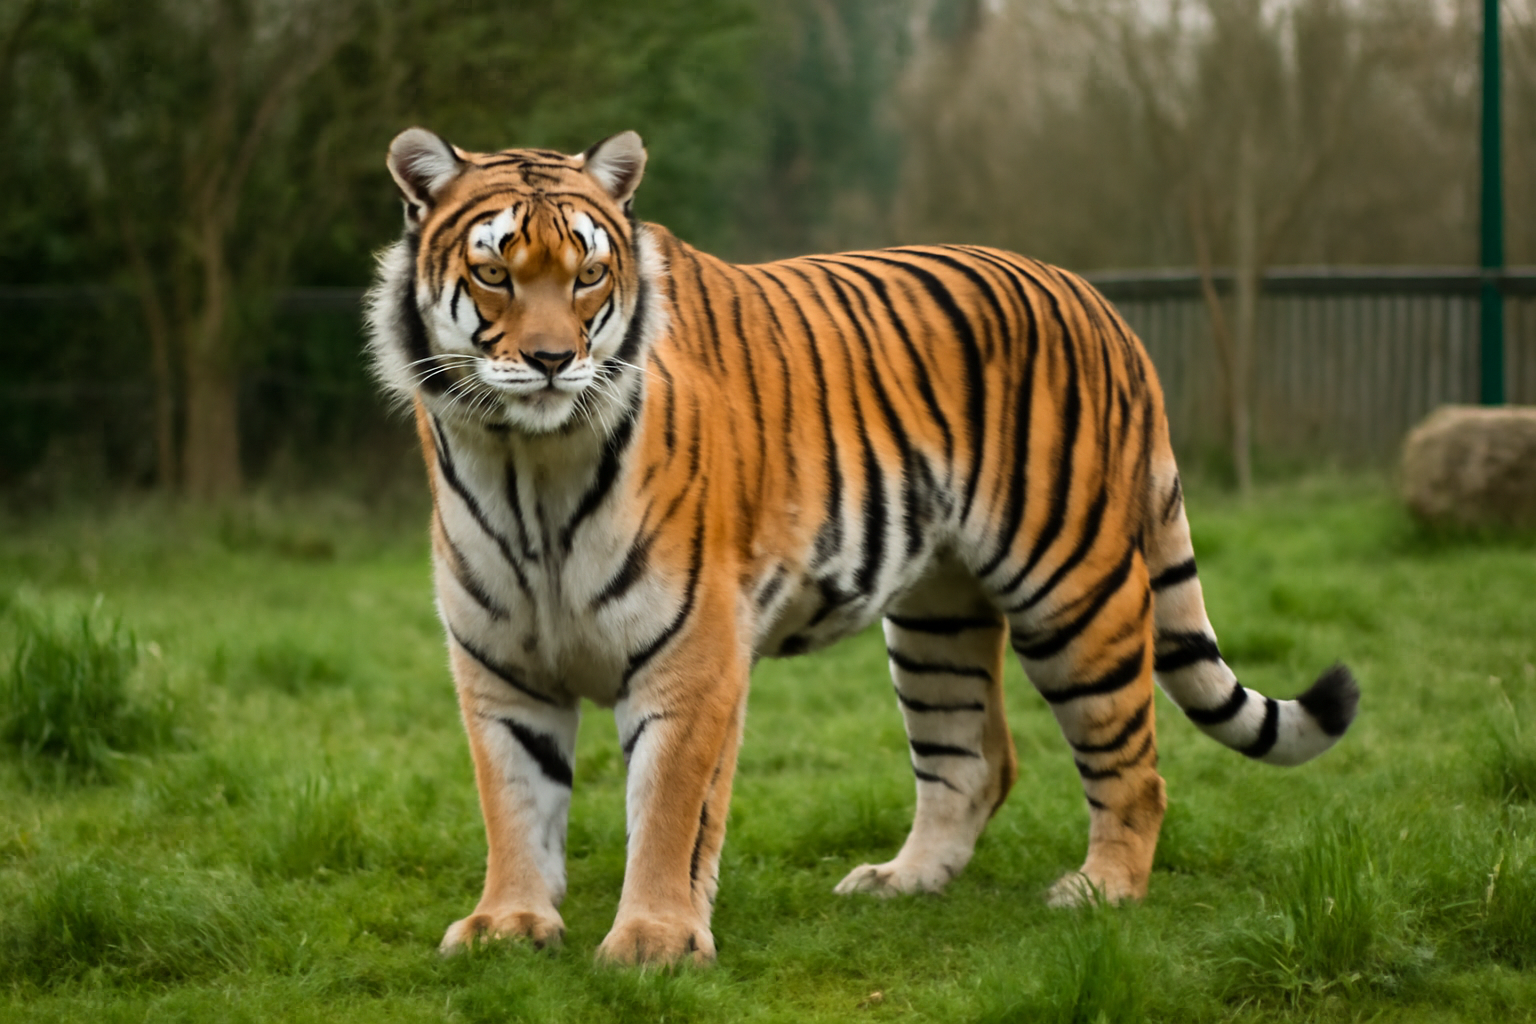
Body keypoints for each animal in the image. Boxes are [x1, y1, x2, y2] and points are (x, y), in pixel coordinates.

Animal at [365, 127, 1360, 966]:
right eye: (497, 275)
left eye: (587, 277)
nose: (551, 361)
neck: (525, 464)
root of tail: (1097, 301)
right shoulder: (500, 660)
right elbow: (513, 799)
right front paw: (507, 925)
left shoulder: (692, 655)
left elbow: (669, 809)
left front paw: (654, 940)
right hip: (936, 621)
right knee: (973, 762)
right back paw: (902, 881)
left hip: (1074, 588)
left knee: (1133, 764)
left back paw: (1102, 891)